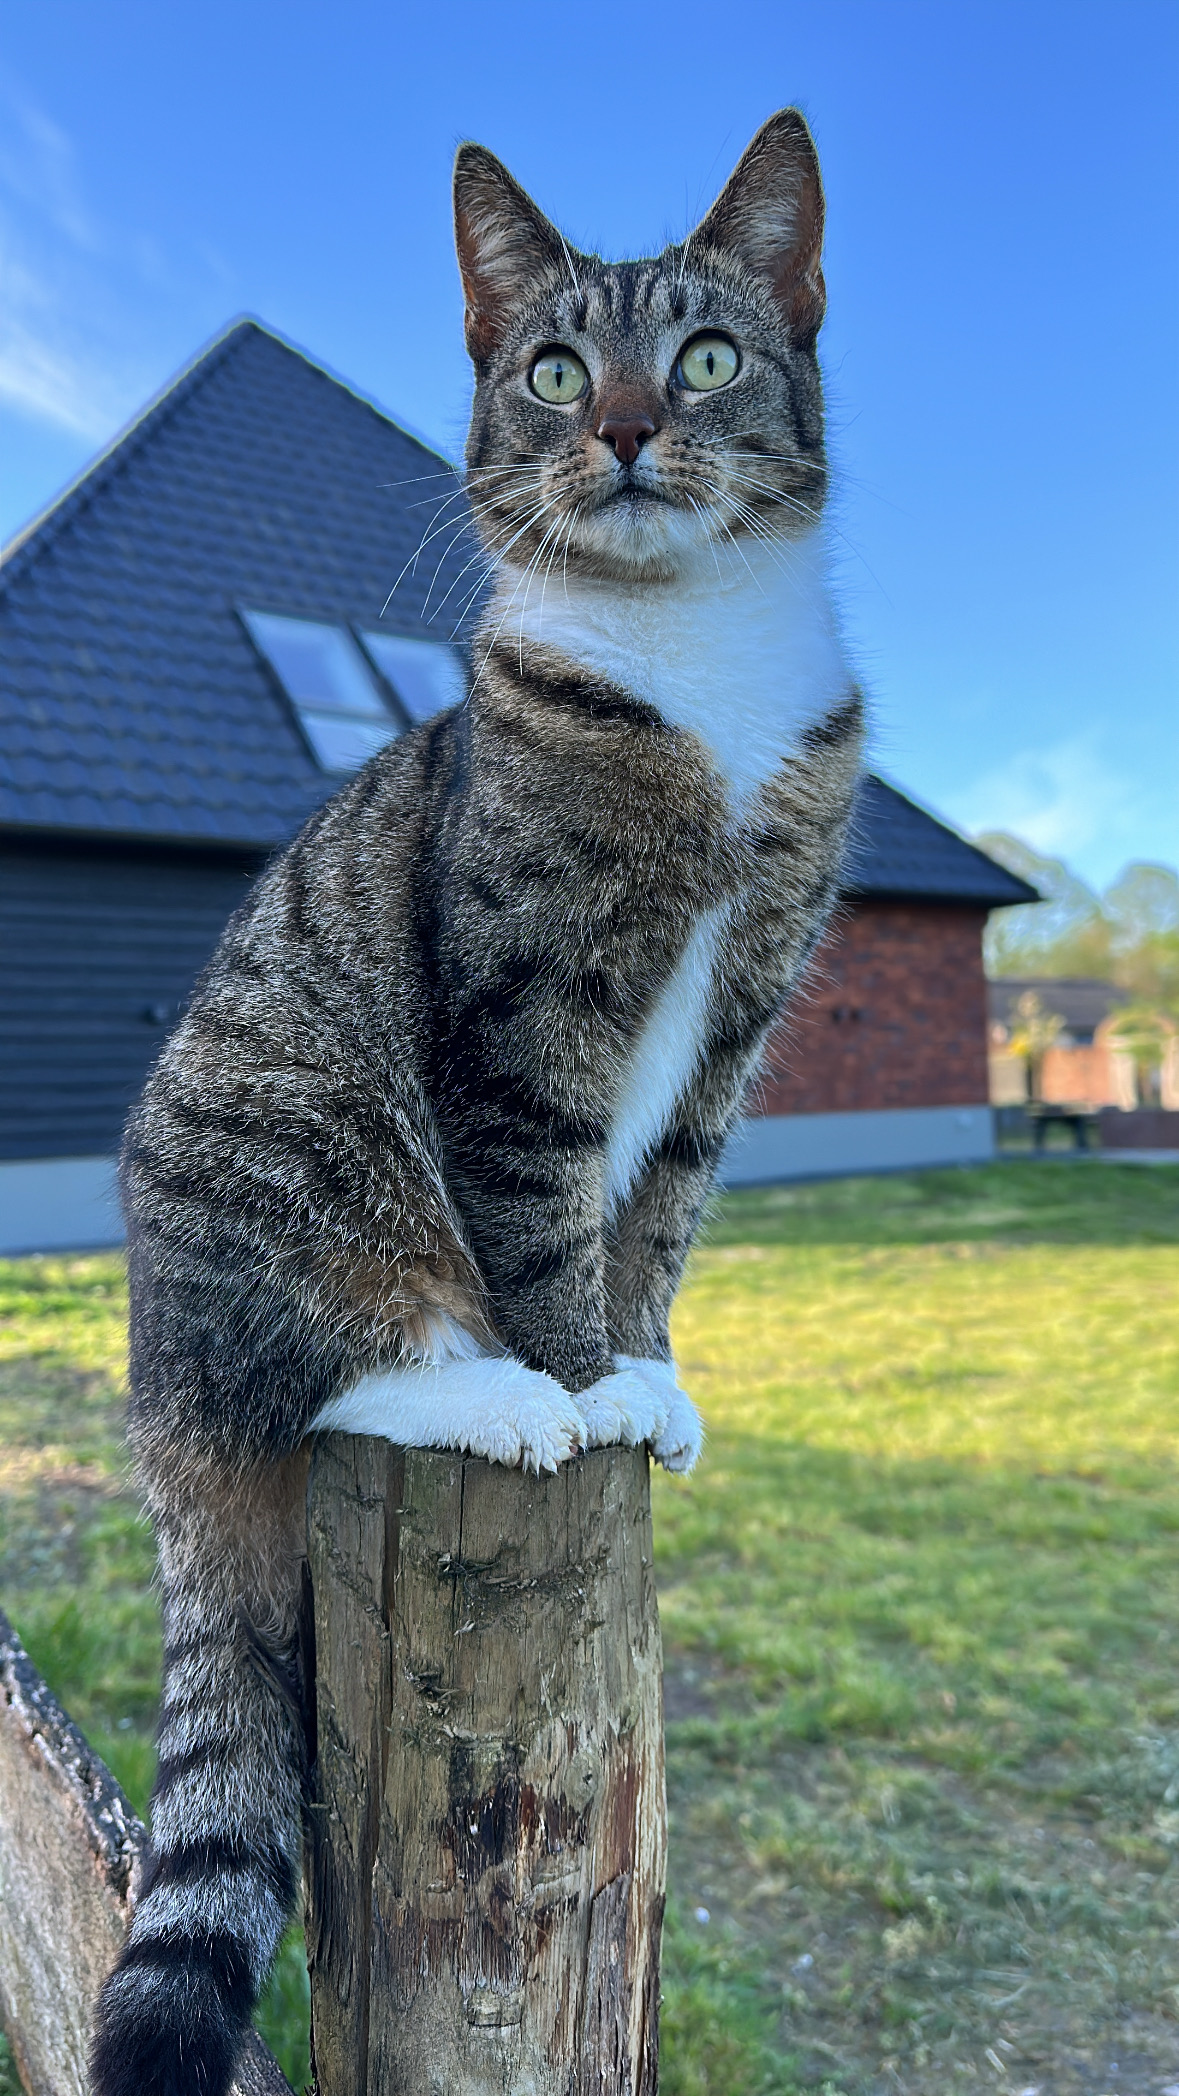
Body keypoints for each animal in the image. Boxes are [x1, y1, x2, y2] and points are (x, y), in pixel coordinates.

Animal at [91, 106, 860, 2087]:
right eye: (553, 369)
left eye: (706, 356)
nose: (625, 430)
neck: (697, 672)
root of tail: (149, 1384)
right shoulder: (521, 1011)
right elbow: (539, 1209)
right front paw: (582, 1390)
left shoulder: (737, 1012)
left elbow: (655, 1208)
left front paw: (644, 1373)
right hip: (291, 1140)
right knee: (324, 1374)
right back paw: (489, 1395)